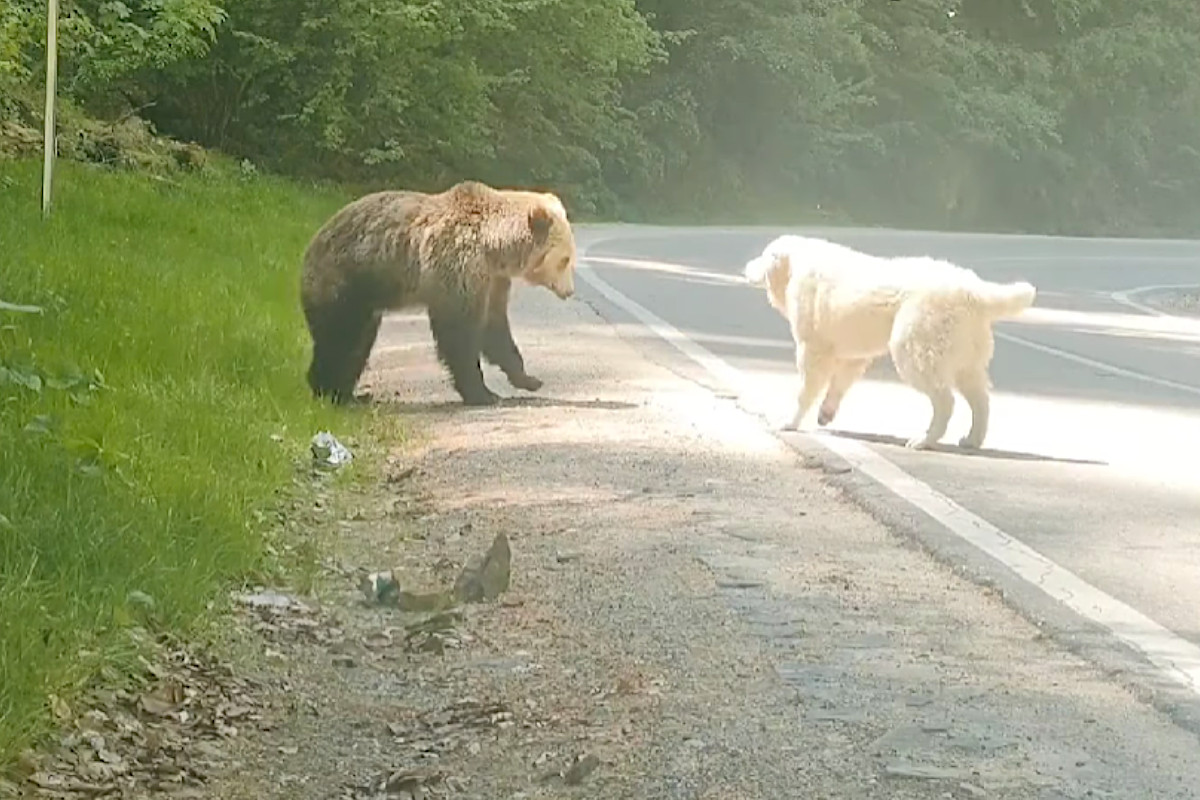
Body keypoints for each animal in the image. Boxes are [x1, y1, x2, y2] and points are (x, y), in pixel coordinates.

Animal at [300, 181, 580, 407]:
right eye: (565, 260)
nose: (569, 291)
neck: (495, 248)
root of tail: (309, 248)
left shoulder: (493, 281)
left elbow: (495, 329)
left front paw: (528, 379)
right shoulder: (458, 265)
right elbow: (458, 333)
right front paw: (483, 393)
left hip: (366, 300)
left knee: (359, 344)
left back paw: (350, 394)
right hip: (345, 282)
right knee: (339, 337)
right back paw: (326, 389)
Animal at [739, 236, 1032, 450]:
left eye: (764, 255)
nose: (744, 267)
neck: (796, 265)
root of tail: (974, 293)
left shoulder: (813, 345)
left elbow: (807, 386)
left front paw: (789, 422)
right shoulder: (852, 354)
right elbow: (841, 380)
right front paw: (825, 413)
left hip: (915, 343)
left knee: (944, 398)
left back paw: (924, 439)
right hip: (966, 352)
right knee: (980, 397)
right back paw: (972, 439)